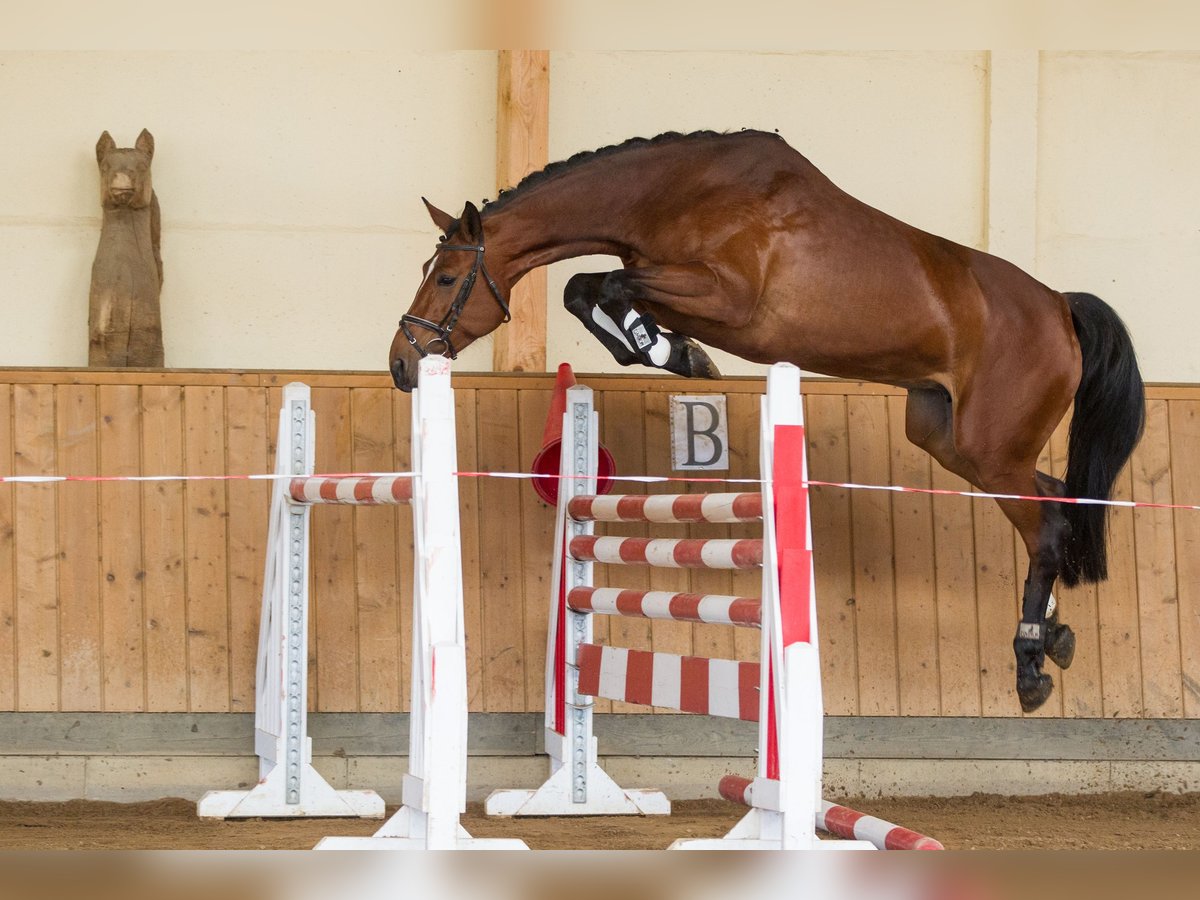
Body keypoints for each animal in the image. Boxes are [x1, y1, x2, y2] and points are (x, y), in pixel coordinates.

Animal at [391, 130, 1142, 715]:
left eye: (447, 276)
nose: (402, 362)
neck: (673, 195)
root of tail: (1059, 307)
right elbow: (588, 288)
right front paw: (665, 350)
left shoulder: (723, 296)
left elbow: (603, 284)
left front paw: (671, 352)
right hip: (950, 438)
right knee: (1053, 502)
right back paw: (1057, 637)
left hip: (990, 448)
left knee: (1045, 528)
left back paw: (1030, 665)